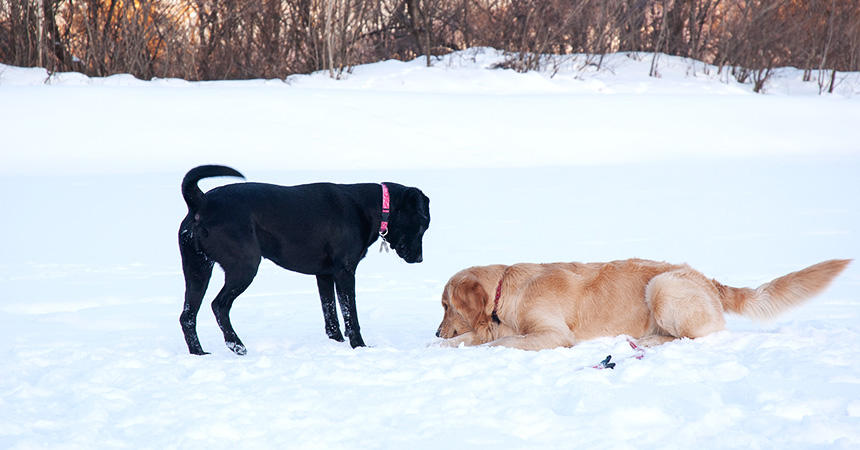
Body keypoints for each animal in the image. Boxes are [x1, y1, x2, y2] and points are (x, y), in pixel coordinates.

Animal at [179, 165, 430, 356]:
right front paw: (359, 346)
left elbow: (330, 313)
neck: (371, 207)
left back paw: (199, 353)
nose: (419, 258)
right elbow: (351, 315)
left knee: (187, 316)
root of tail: (201, 202)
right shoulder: (345, 272)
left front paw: (336, 342)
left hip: (197, 270)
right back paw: (237, 345)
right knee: (219, 305)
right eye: (422, 224)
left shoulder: (325, 275)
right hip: (244, 266)